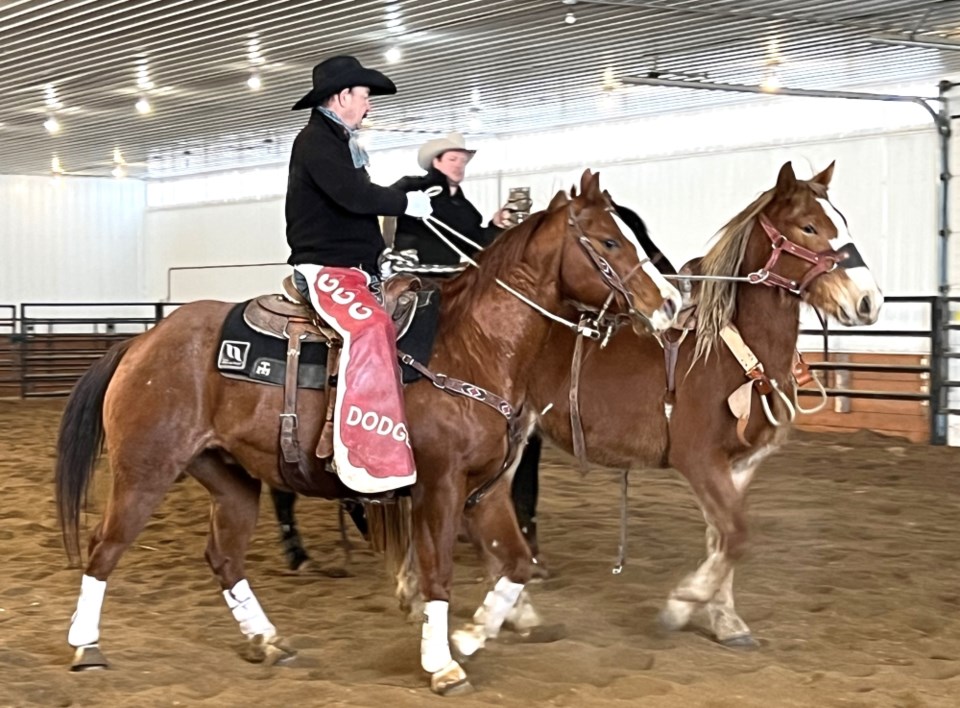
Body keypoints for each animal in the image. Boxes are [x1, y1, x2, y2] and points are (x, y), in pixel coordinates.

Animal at [54, 170, 684, 692]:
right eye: (610, 242)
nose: (674, 301)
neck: (473, 345)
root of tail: (141, 342)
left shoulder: (486, 492)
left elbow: (515, 565)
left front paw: (471, 635)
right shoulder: (439, 488)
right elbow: (436, 574)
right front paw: (442, 663)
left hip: (230, 477)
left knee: (224, 558)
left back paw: (267, 640)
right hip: (145, 467)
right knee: (104, 547)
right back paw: (86, 646)